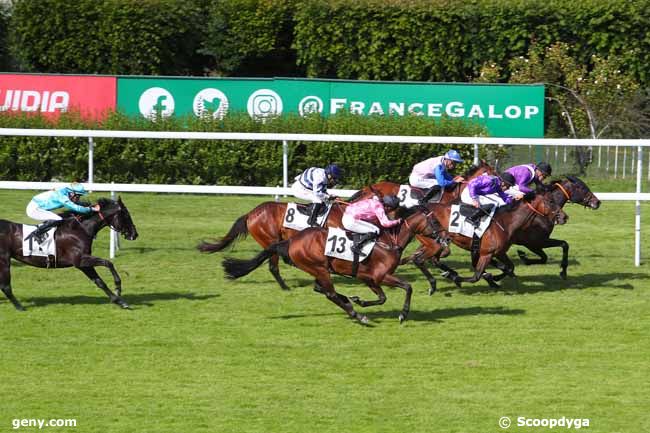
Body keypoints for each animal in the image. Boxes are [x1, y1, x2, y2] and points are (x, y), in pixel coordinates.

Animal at [0, 196, 137, 310]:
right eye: (126, 215)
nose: (134, 234)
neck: (80, 229)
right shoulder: (80, 260)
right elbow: (108, 263)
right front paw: (118, 288)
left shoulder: (83, 264)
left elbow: (100, 282)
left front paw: (119, 301)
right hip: (4, 260)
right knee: (5, 286)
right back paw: (20, 307)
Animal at [221, 209, 440, 324]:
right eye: (435, 222)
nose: (442, 238)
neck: (389, 242)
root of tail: (291, 241)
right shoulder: (381, 276)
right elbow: (407, 287)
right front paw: (403, 314)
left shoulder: (369, 278)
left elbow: (382, 298)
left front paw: (360, 300)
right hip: (319, 268)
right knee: (329, 293)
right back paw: (357, 314)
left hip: (318, 269)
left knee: (321, 289)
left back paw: (350, 303)